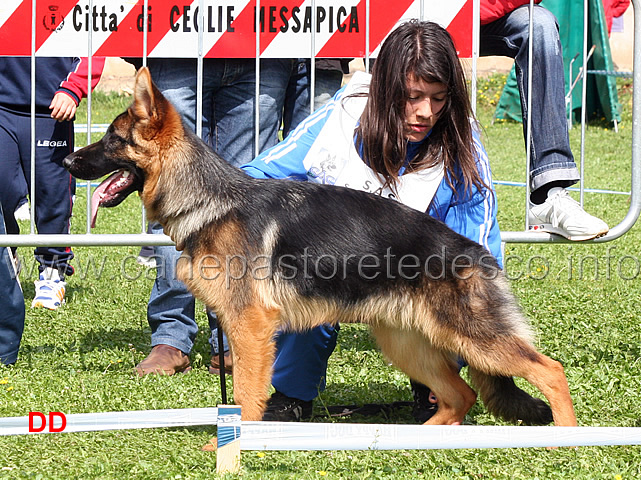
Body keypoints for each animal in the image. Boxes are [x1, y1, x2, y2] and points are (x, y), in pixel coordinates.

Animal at [62, 64, 576, 428]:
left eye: (112, 139)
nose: (66, 160)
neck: (209, 198)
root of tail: (479, 251)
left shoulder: (250, 328)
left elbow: (246, 392)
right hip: (408, 344)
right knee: (461, 396)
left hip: (474, 339)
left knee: (550, 371)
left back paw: (566, 441)